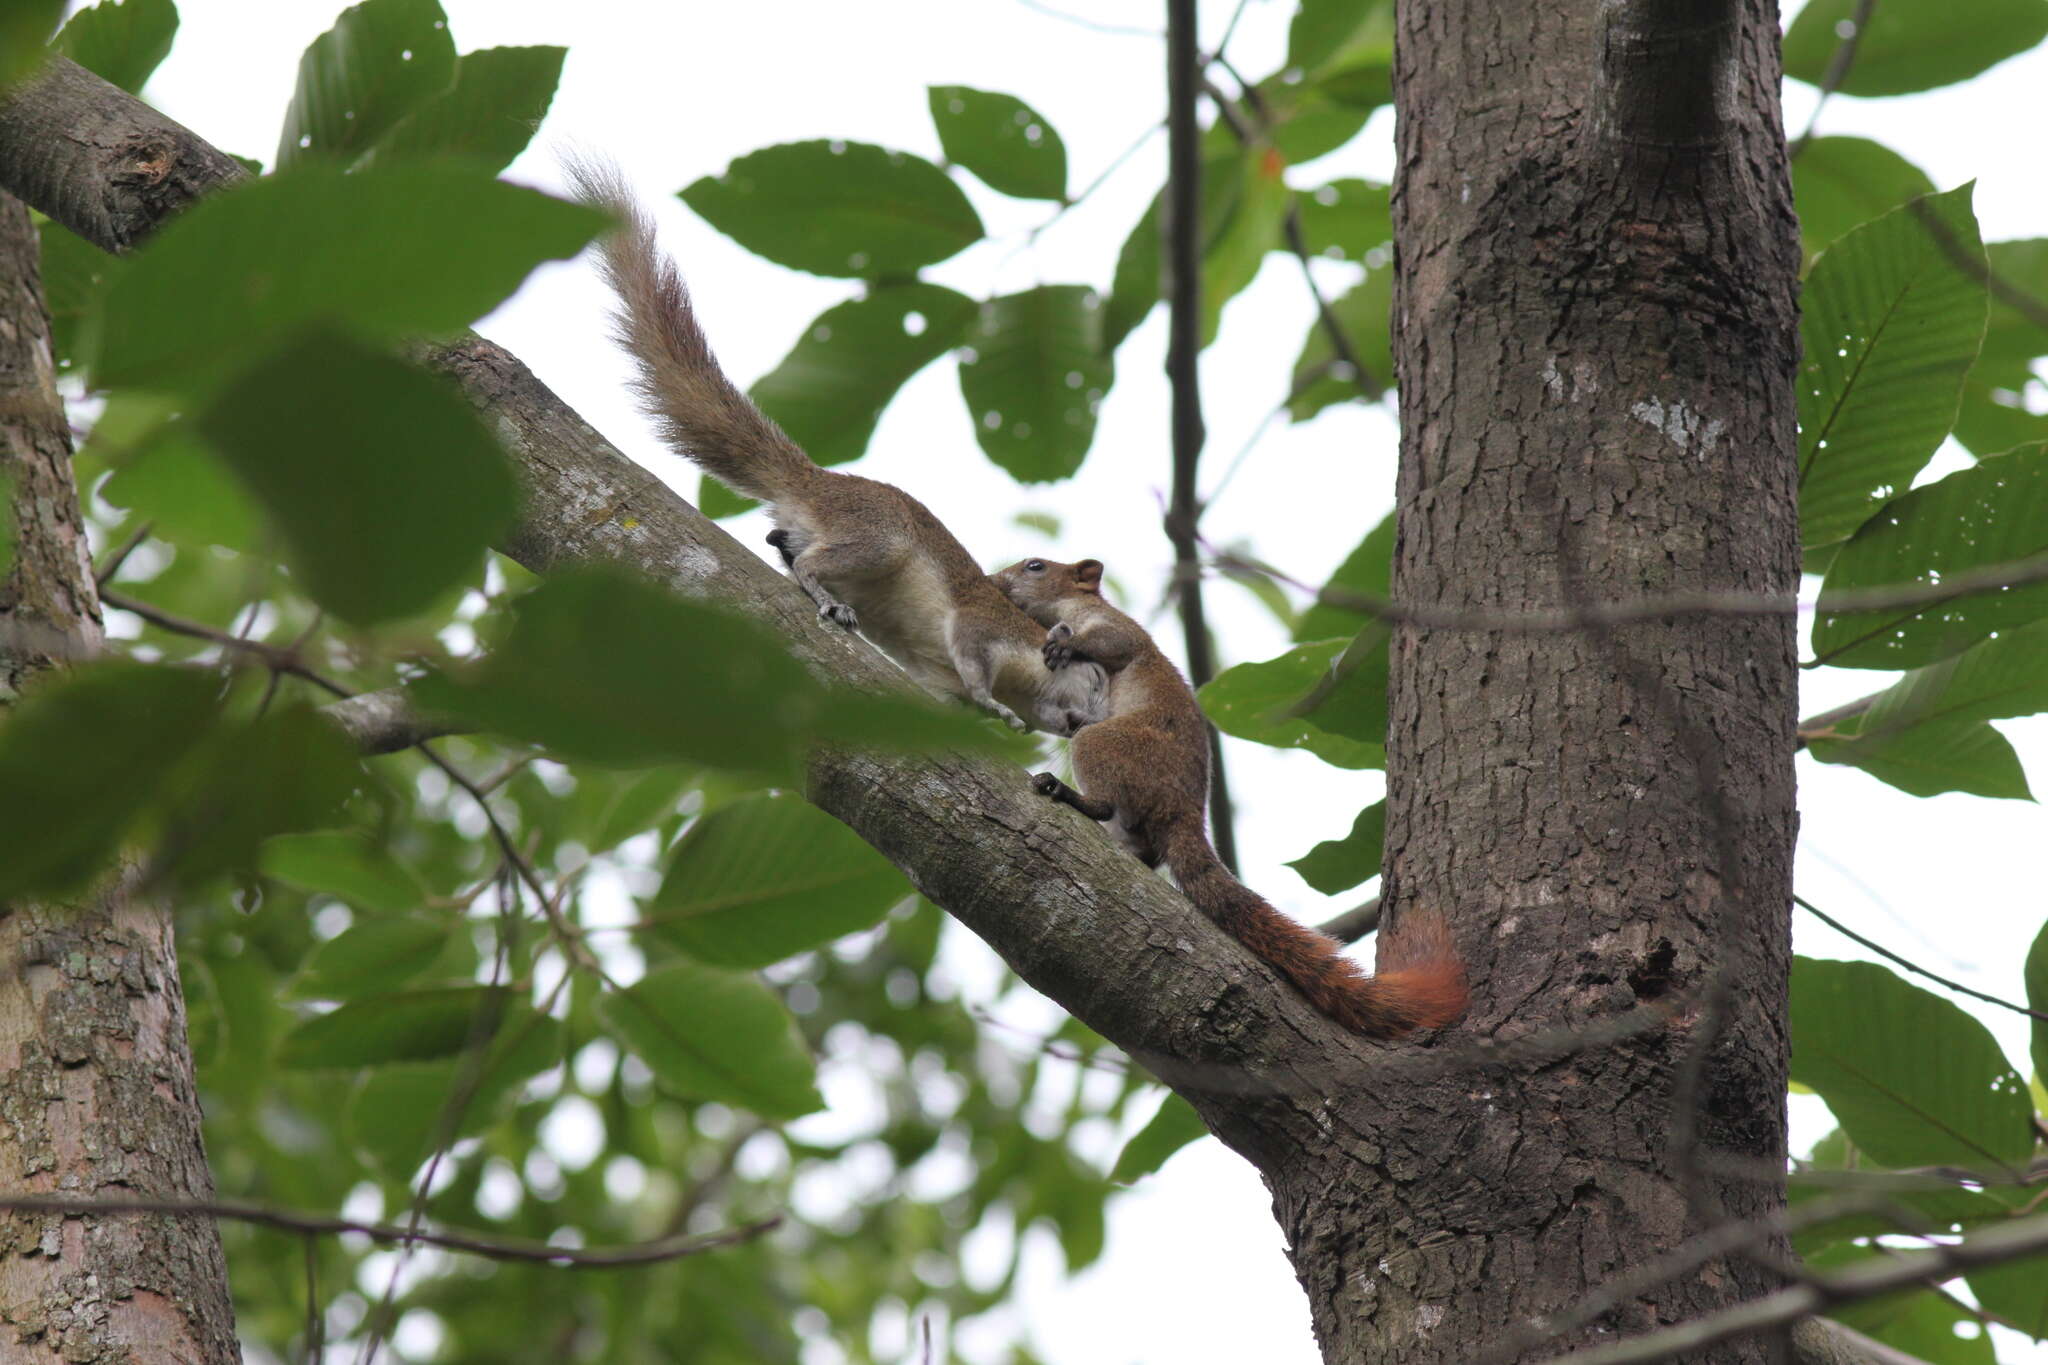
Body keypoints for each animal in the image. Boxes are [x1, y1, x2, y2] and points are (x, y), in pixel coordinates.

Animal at [569, 161, 1114, 740]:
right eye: (1096, 680)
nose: (1083, 727)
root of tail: (816, 481)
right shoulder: (980, 627)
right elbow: (975, 669)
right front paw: (998, 707)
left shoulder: (938, 684)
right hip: (877, 535)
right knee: (814, 560)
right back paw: (829, 598)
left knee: (786, 543)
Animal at [995, 556, 1466, 1035]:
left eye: (1036, 566)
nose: (997, 581)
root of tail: (1184, 811)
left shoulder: (1115, 627)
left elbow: (1110, 643)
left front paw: (1062, 644)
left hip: (1108, 745)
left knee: (1108, 799)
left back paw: (1071, 794)